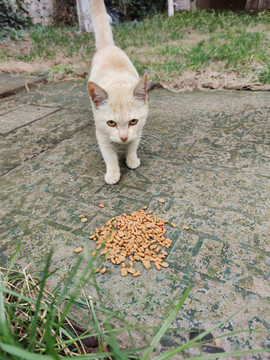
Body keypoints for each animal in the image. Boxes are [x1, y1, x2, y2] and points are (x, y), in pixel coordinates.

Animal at [88, 0, 148, 184]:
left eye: (133, 121)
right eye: (111, 123)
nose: (123, 138)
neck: (117, 83)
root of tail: (108, 47)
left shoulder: (138, 129)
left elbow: (133, 145)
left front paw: (132, 159)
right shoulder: (101, 133)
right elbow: (109, 156)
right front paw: (113, 173)